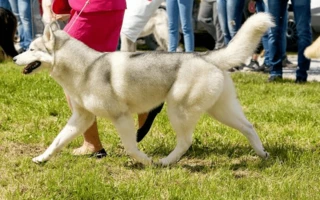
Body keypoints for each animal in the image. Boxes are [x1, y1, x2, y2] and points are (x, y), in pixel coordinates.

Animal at [14, 12, 276, 166]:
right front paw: (41, 158)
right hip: (221, 110)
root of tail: (207, 55)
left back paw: (165, 162)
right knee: (248, 127)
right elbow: (57, 141)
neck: (86, 68)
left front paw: (145, 161)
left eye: (32, 49)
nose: (15, 58)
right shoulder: (82, 118)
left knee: (185, 141)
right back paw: (262, 154)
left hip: (178, 111)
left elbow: (131, 147)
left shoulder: (121, 117)